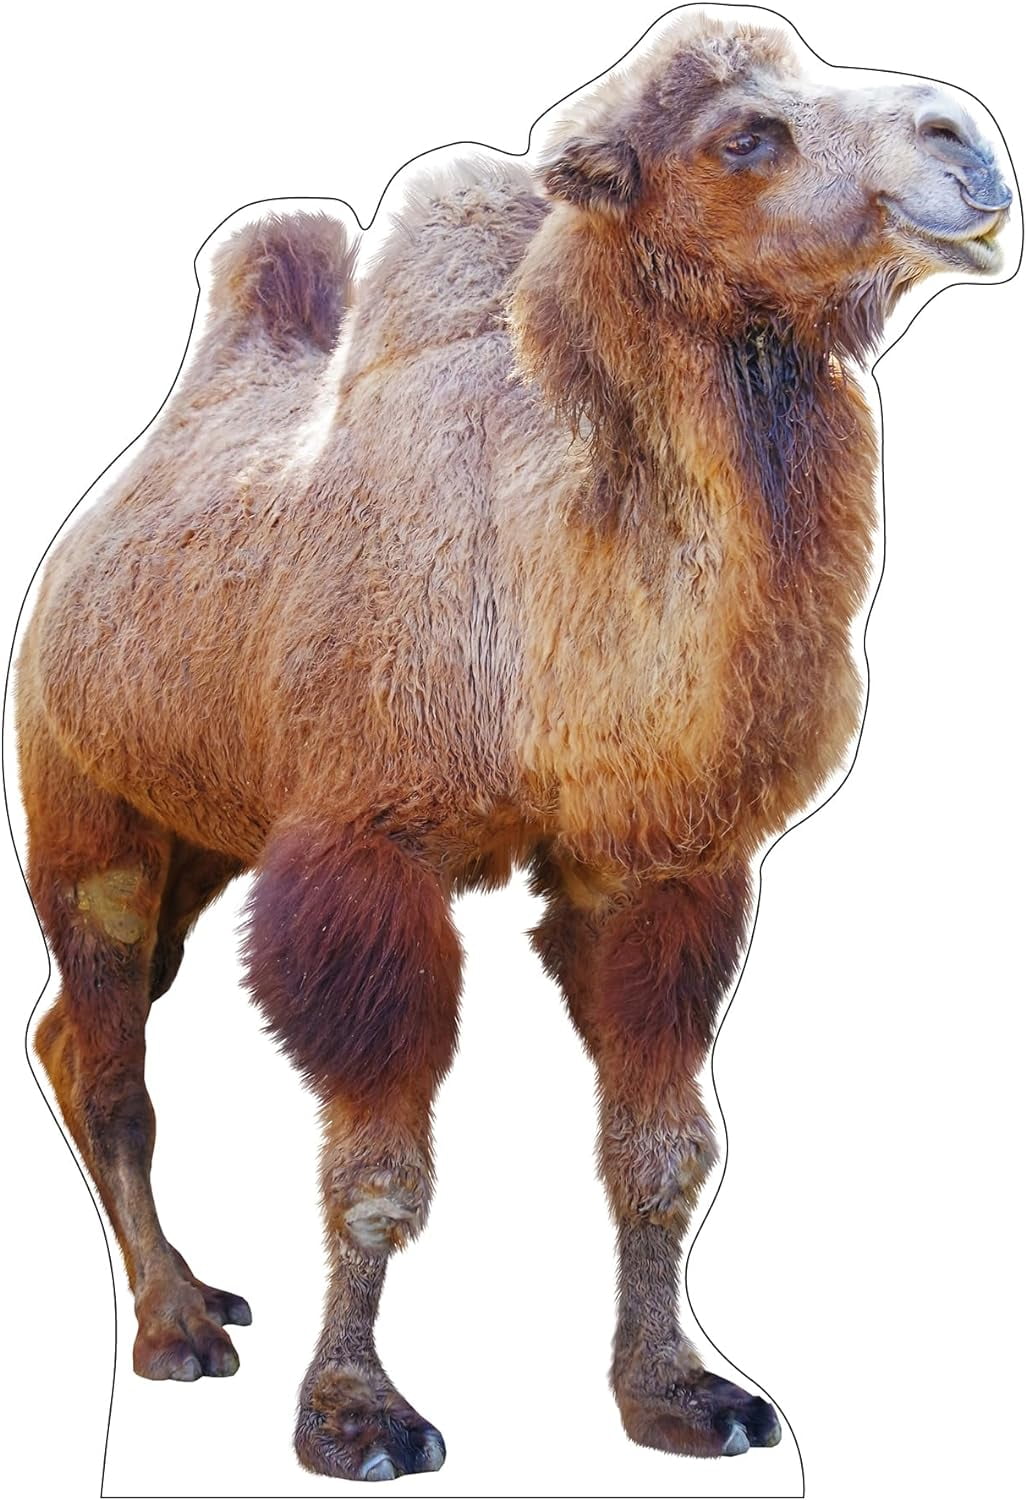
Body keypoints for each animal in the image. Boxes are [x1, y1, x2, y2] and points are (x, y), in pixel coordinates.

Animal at [16, 10, 1012, 1483]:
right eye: (745, 137)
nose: (968, 145)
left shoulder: (660, 860)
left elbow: (662, 1151)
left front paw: (680, 1394)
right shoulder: (363, 848)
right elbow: (377, 1172)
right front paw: (356, 1416)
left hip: (203, 833)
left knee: (68, 1030)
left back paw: (190, 1292)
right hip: (86, 807)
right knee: (110, 1058)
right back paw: (177, 1326)